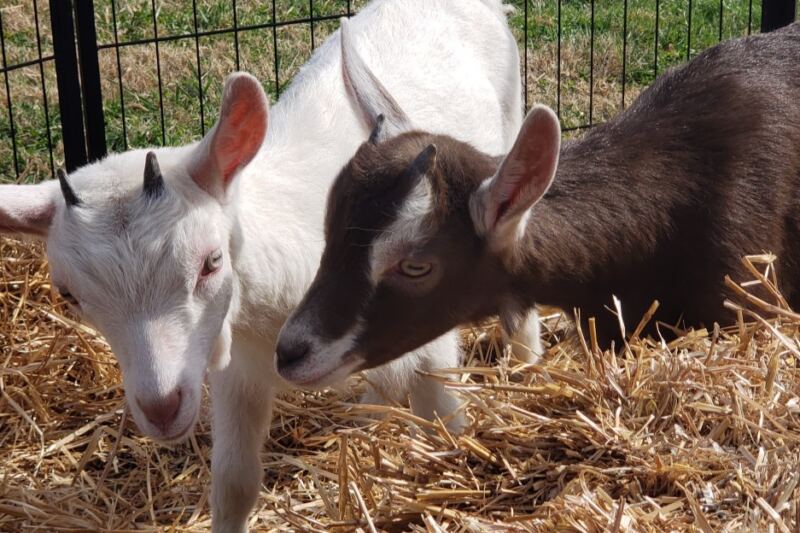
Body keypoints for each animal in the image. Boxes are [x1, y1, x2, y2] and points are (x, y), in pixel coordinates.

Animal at [0, 1, 523, 530]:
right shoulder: (236, 367)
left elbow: (444, 424)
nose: (161, 408)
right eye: (69, 295)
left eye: (211, 263)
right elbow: (234, 480)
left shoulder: (426, 318)